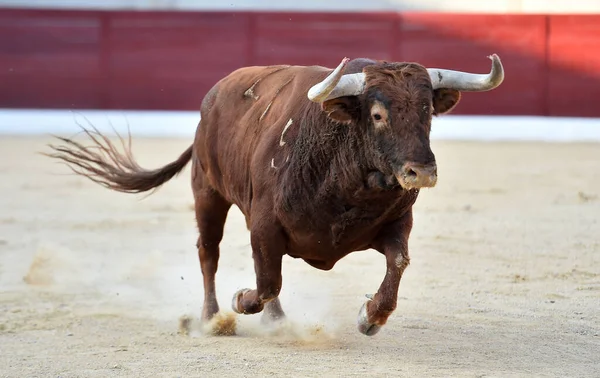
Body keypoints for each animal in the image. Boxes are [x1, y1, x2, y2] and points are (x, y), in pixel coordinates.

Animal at [45, 54, 502, 336]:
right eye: (377, 115)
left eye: (428, 112)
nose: (420, 171)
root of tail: (212, 100)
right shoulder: (265, 223)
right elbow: (264, 283)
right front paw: (238, 300)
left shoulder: (395, 222)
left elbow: (397, 265)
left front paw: (369, 317)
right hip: (208, 193)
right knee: (209, 252)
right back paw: (211, 318)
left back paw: (276, 321)